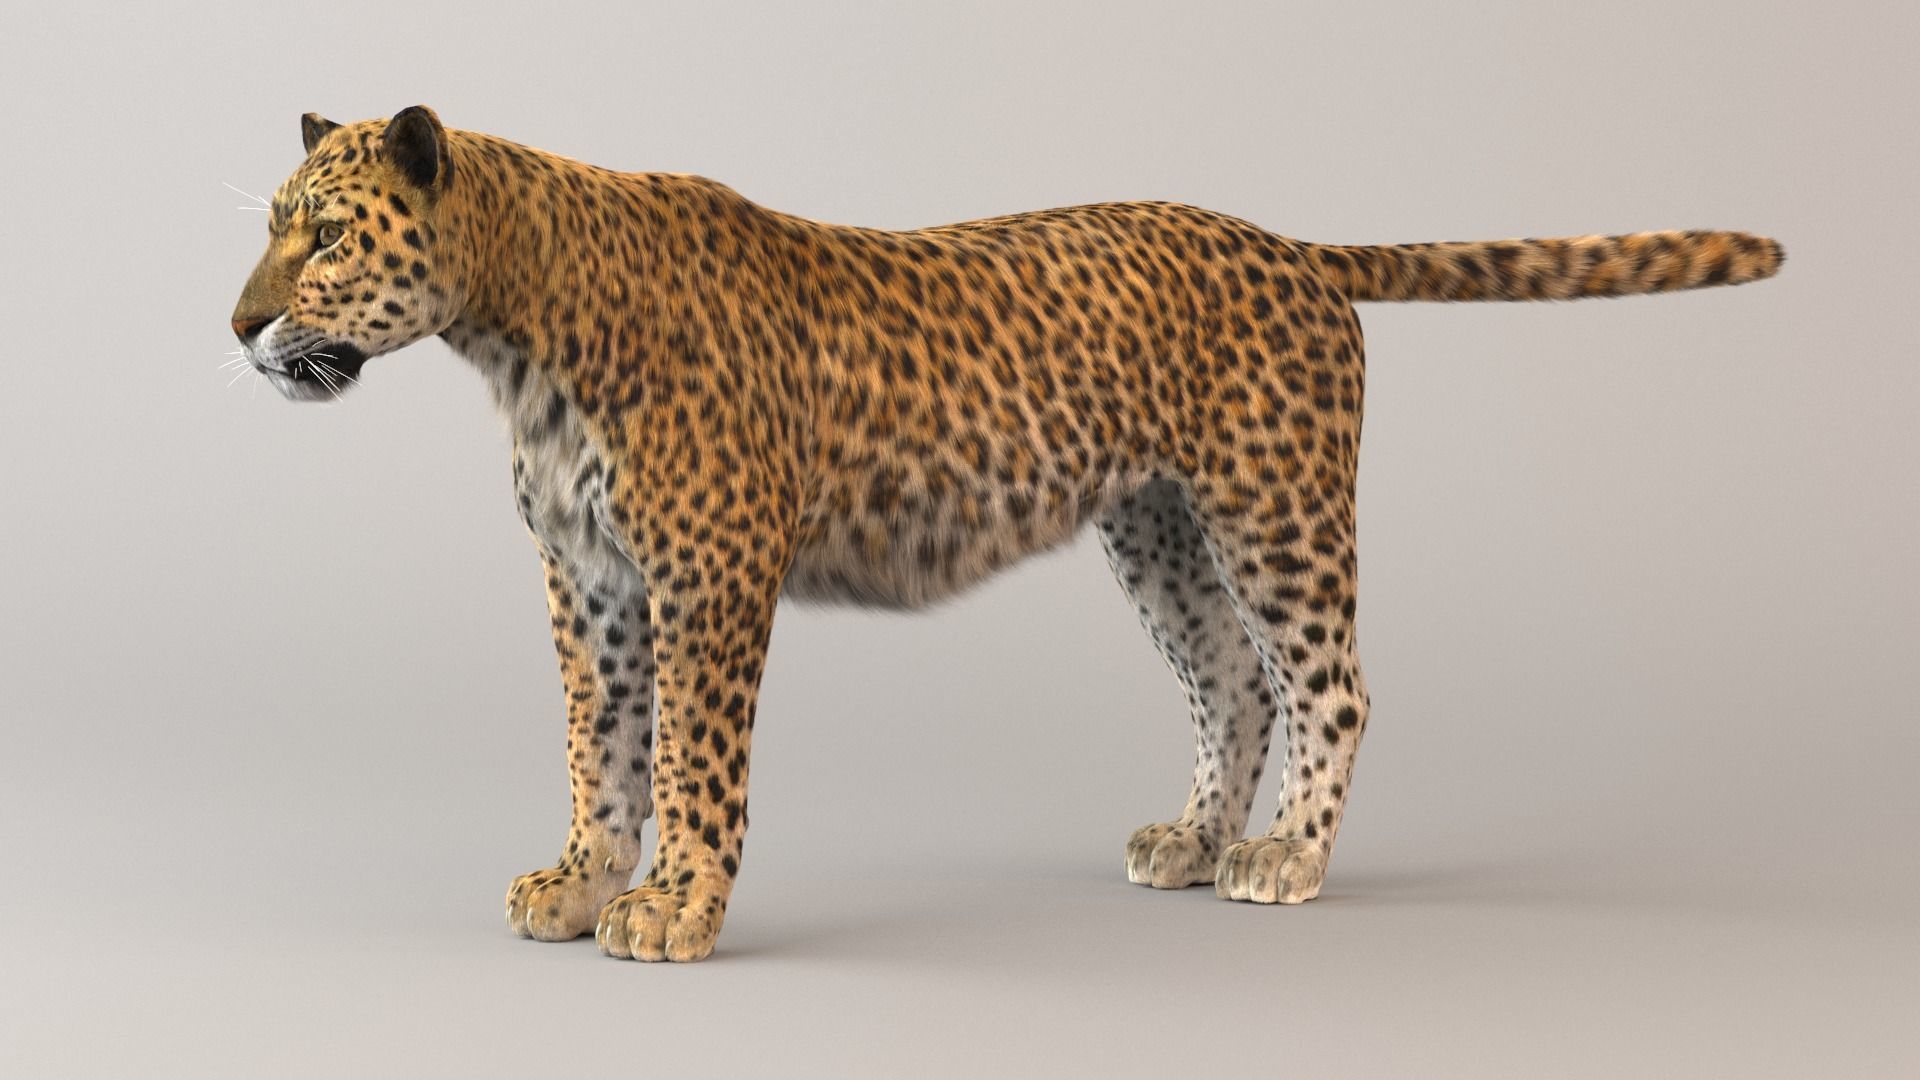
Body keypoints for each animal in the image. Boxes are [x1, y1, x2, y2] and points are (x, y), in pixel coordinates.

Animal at [230, 106, 1783, 962]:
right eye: (271, 228)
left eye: (324, 238)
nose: (240, 324)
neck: (512, 333)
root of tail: (1293, 245)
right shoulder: (589, 584)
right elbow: (596, 744)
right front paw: (581, 879)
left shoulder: (707, 577)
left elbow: (689, 760)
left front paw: (676, 906)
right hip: (1159, 527)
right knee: (1234, 682)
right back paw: (1196, 840)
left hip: (1277, 507)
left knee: (1330, 683)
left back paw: (1286, 859)